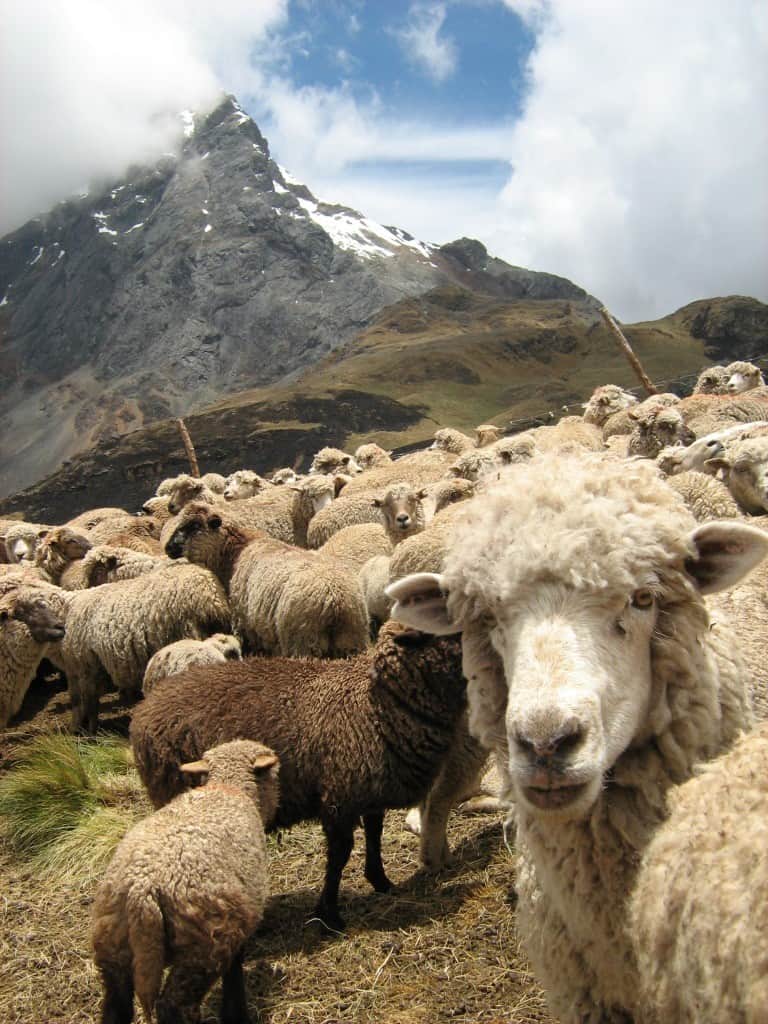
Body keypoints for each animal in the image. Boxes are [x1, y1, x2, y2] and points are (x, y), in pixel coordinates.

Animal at [92, 741, 280, 1024]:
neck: (228, 789)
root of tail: (142, 892)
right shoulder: (236, 921)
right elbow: (235, 968)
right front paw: (236, 1013)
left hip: (113, 947)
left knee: (116, 1006)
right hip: (199, 951)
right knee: (173, 1006)